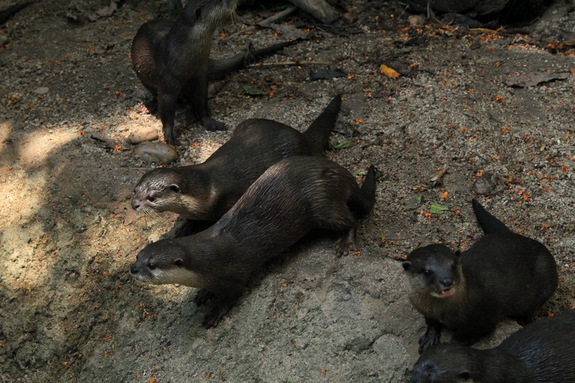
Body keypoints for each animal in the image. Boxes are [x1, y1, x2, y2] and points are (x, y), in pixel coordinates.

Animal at [129, 158, 378, 328]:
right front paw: (203, 293)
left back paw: (345, 243)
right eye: (137, 256)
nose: (133, 269)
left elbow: (231, 296)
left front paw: (214, 313)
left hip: (323, 204)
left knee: (350, 218)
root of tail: (337, 172)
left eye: (152, 265)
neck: (205, 260)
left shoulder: (232, 276)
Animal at [132, 94, 342, 236]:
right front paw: (184, 228)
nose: (134, 205)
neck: (205, 192)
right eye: (135, 190)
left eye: (151, 197)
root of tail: (300, 137)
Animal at [404, 200, 560, 356]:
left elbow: (464, 337)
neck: (443, 311)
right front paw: (429, 338)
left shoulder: (482, 318)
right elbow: (431, 322)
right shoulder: (425, 310)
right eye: (426, 271)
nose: (447, 281)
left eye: (453, 265)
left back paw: (522, 319)